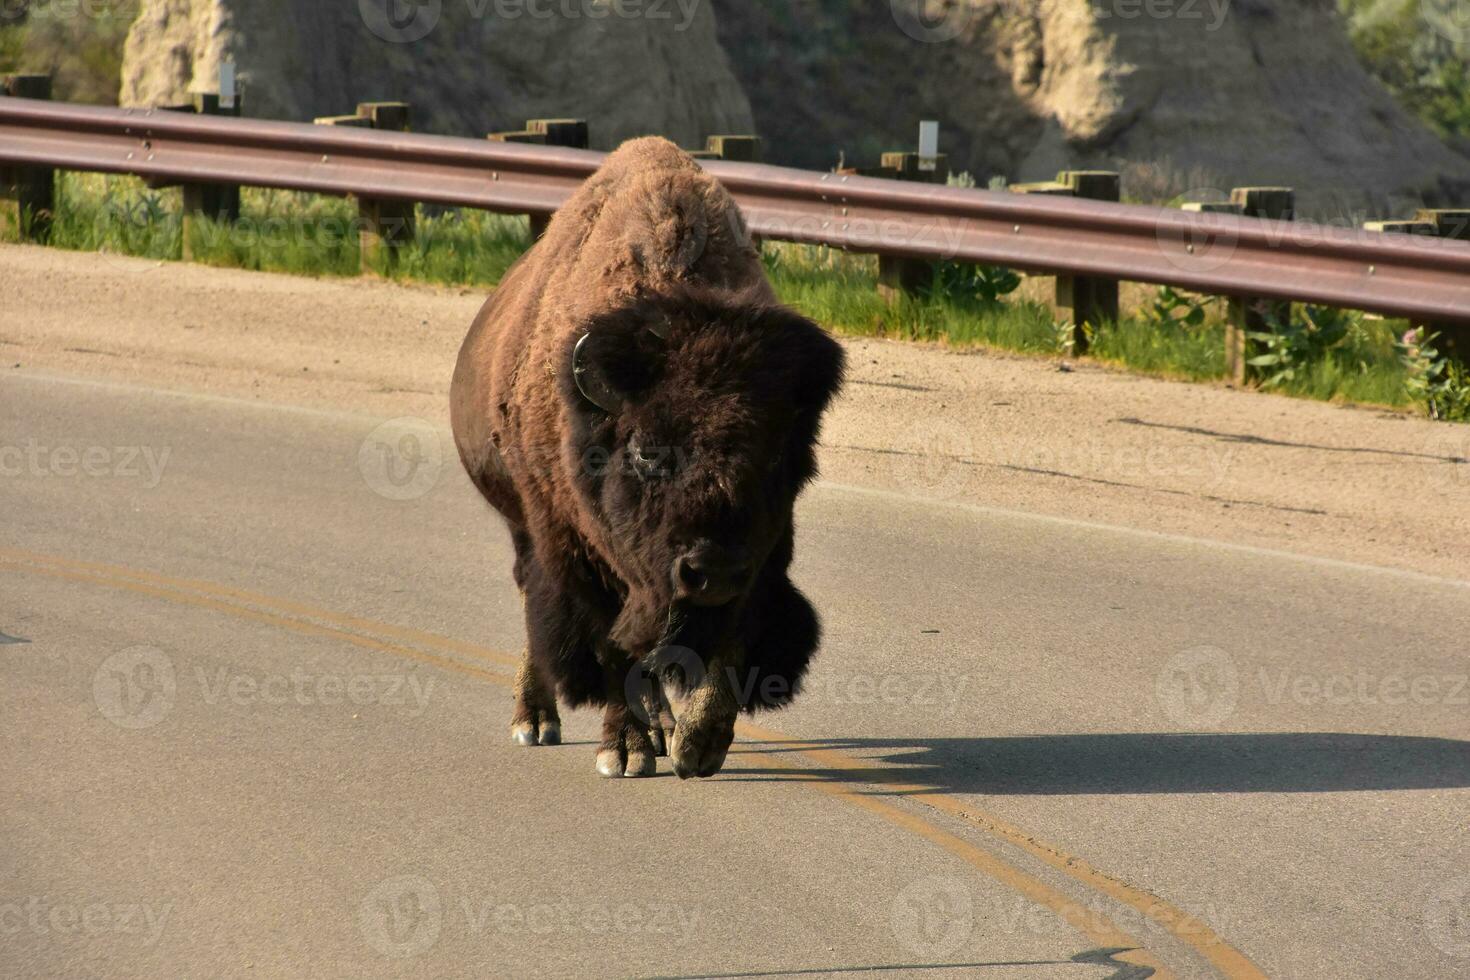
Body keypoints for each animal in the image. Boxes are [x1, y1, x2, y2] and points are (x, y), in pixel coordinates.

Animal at [446, 139, 846, 781]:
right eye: (645, 451)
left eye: (777, 456)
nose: (710, 570)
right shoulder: (586, 561)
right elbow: (610, 647)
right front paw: (625, 751)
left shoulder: (758, 563)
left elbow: (730, 641)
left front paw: (698, 744)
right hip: (524, 527)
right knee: (536, 603)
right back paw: (536, 720)